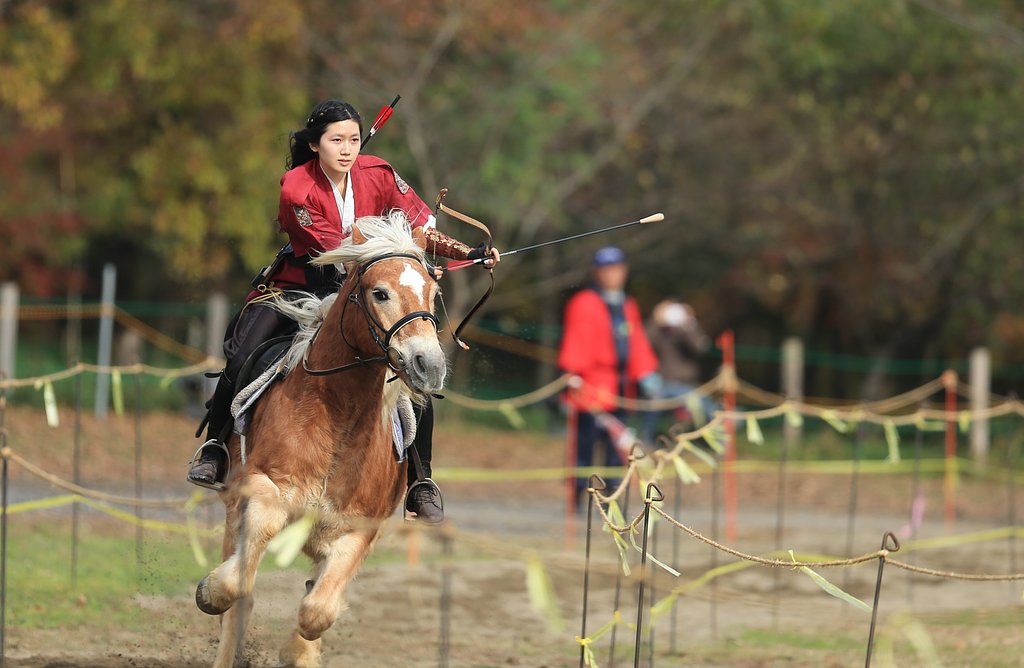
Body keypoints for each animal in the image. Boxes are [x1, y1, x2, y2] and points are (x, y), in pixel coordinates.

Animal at [194, 212, 447, 668]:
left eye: (432, 293)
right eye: (380, 293)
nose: (429, 365)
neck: (339, 421)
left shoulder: (358, 532)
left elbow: (317, 611)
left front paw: (299, 650)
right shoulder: (260, 489)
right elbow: (237, 584)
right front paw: (211, 589)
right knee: (240, 600)